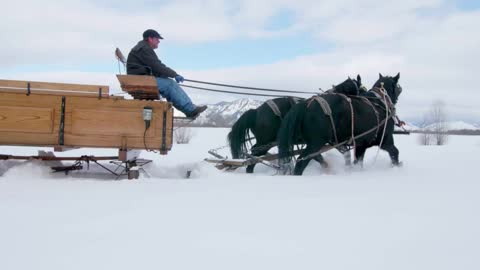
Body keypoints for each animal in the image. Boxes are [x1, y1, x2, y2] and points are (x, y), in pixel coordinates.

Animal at [227, 75, 362, 173]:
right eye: (359, 89)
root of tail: (256, 112)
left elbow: (316, 156)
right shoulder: (327, 139)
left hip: (264, 142)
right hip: (265, 142)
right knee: (254, 157)